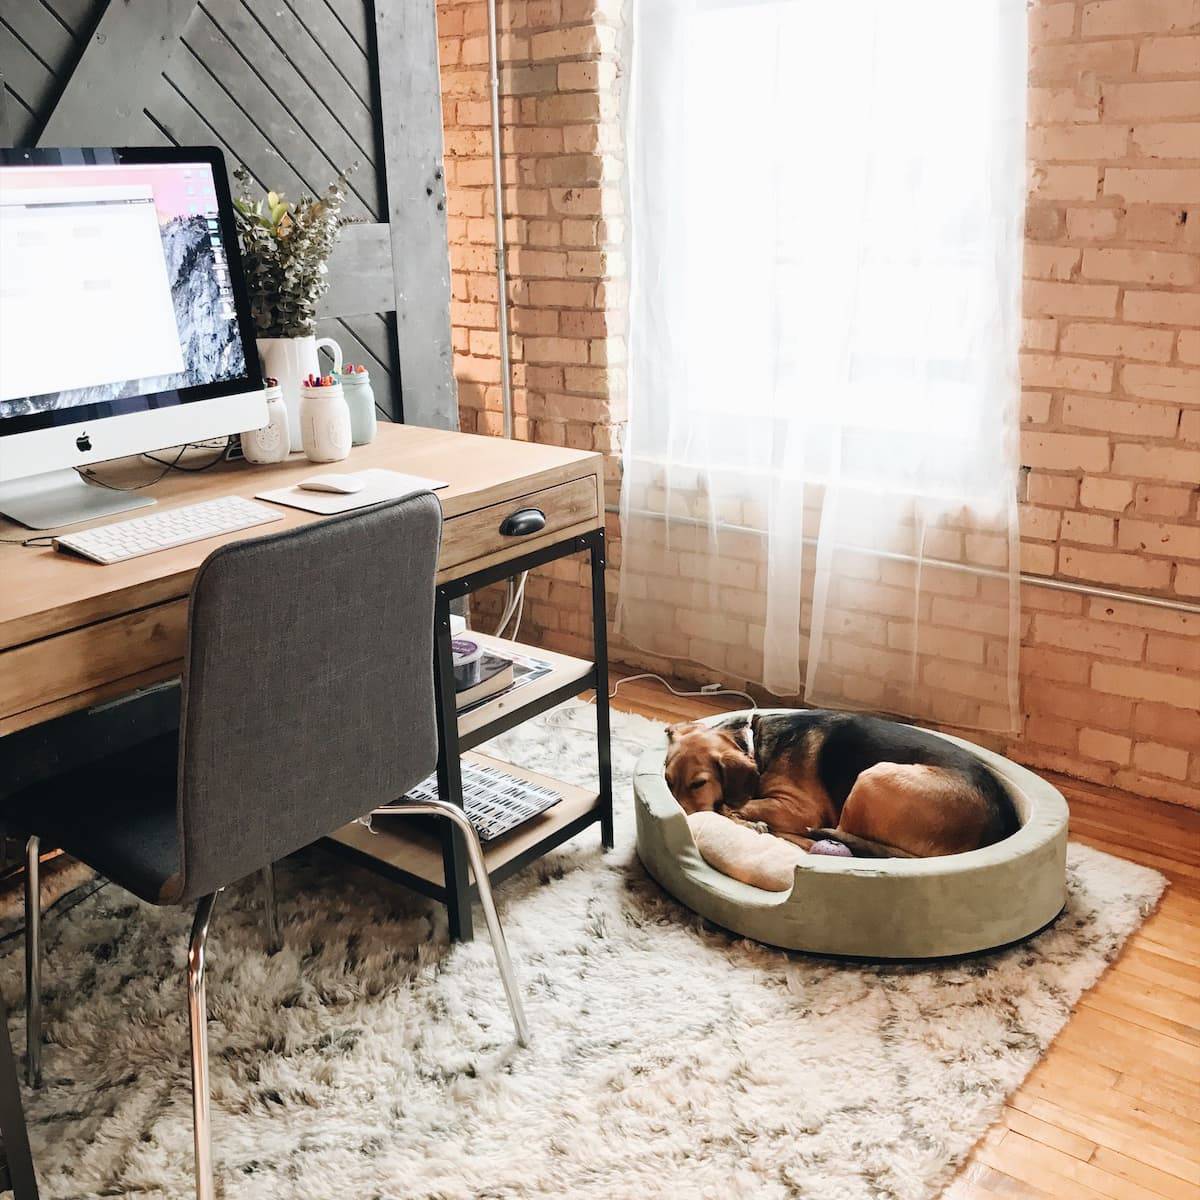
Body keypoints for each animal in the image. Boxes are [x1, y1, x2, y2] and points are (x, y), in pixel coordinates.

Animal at [662, 705, 1017, 859]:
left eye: (698, 784)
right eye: (667, 781)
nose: (678, 817)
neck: (753, 740)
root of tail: (996, 829)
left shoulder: (799, 808)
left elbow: (740, 805)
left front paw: (744, 817)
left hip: (872, 779)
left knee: (827, 839)